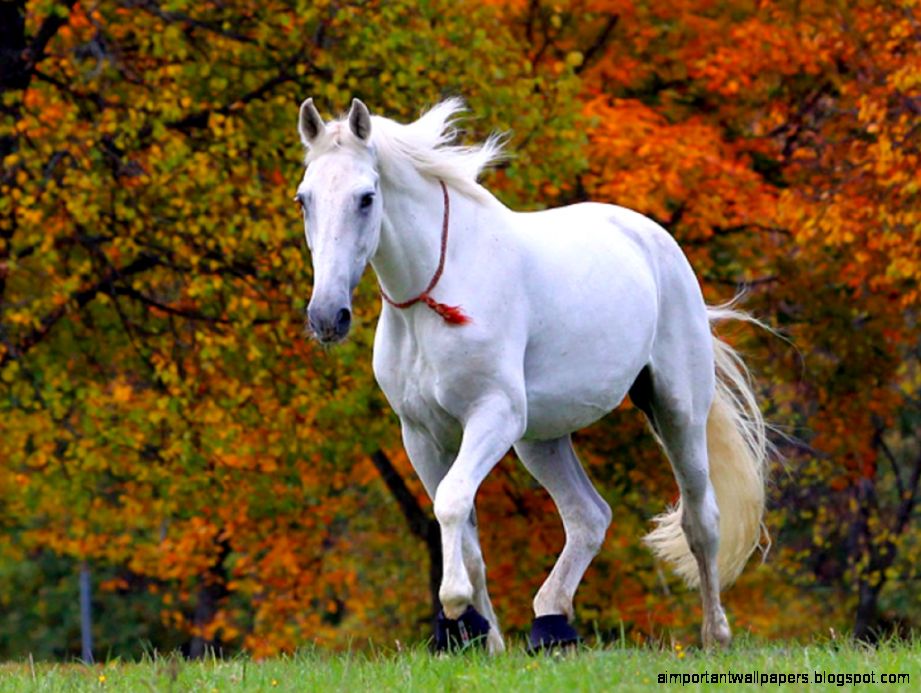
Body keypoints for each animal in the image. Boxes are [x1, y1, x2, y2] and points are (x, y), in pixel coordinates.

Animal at [293, 97, 769, 653]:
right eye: (304, 199)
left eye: (366, 198)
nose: (327, 317)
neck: (435, 296)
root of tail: (654, 240)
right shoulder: (421, 435)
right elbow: (466, 533)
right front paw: (485, 640)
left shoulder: (493, 416)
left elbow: (452, 501)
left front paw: (454, 605)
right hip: (541, 439)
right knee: (588, 518)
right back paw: (550, 625)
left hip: (676, 413)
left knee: (701, 519)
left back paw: (715, 634)